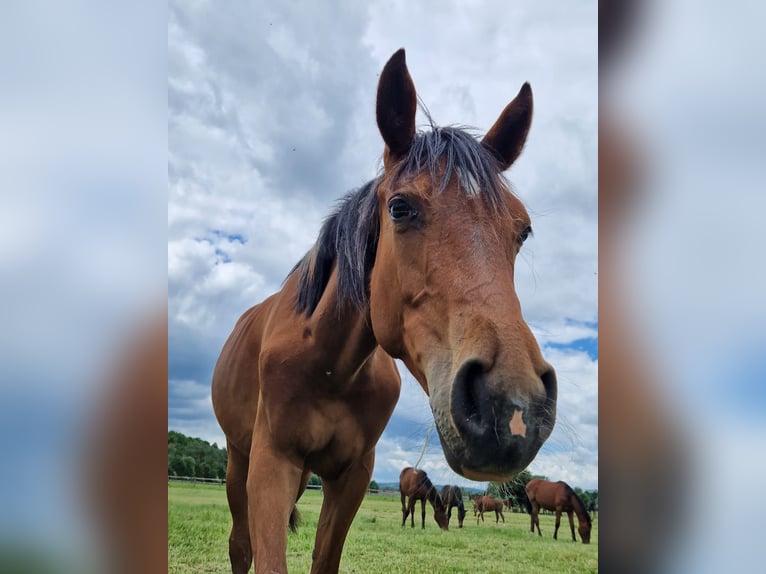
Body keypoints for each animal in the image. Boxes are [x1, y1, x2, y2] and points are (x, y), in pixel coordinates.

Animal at [210, 49, 560, 574]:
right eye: (399, 208)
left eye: (522, 230)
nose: (514, 409)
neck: (329, 364)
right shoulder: (271, 464)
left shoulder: (353, 476)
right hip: (238, 460)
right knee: (240, 546)